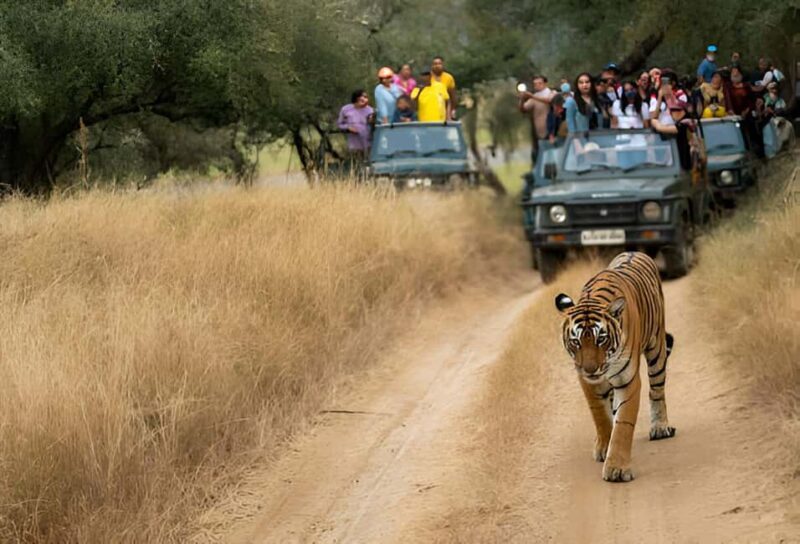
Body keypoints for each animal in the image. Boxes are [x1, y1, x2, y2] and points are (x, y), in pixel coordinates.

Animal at [555, 251, 675, 482]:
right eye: (576, 342)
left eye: (601, 339)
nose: (590, 370)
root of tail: (634, 252)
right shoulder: (588, 383)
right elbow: (600, 416)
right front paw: (603, 447)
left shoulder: (627, 380)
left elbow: (623, 424)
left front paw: (617, 468)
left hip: (656, 349)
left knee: (656, 391)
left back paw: (660, 427)